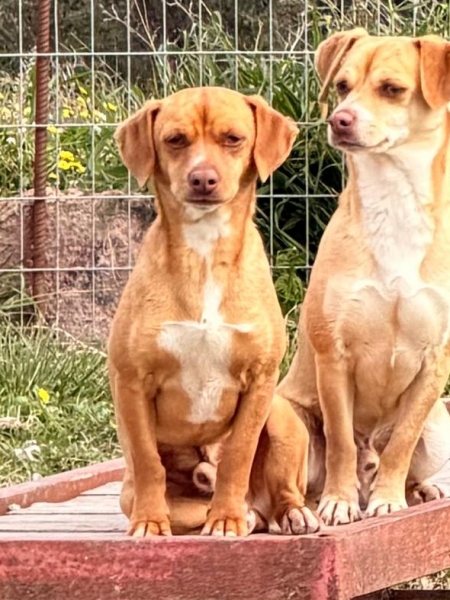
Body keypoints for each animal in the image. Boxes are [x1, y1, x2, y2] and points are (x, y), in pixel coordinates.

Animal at [109, 86, 320, 537]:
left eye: (233, 138)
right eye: (175, 140)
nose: (202, 178)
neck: (204, 251)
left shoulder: (259, 380)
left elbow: (238, 454)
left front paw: (226, 518)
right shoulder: (131, 382)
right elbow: (148, 461)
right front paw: (149, 522)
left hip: (281, 417)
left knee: (280, 489)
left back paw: (285, 512)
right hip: (133, 493)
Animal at [277, 30, 450, 526]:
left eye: (392, 89)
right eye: (341, 86)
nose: (340, 120)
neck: (395, 202)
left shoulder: (436, 360)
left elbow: (403, 441)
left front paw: (388, 498)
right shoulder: (334, 356)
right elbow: (339, 440)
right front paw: (340, 500)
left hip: (442, 426)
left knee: (396, 454)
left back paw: (416, 490)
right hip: (290, 420)